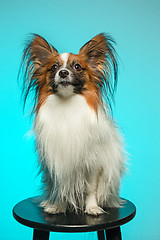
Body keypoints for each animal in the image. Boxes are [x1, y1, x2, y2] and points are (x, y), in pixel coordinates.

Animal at [20, 33, 125, 216]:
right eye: (54, 67)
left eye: (77, 67)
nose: (63, 72)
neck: (67, 104)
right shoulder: (57, 164)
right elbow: (61, 188)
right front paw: (57, 206)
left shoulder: (93, 164)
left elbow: (90, 189)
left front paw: (92, 207)